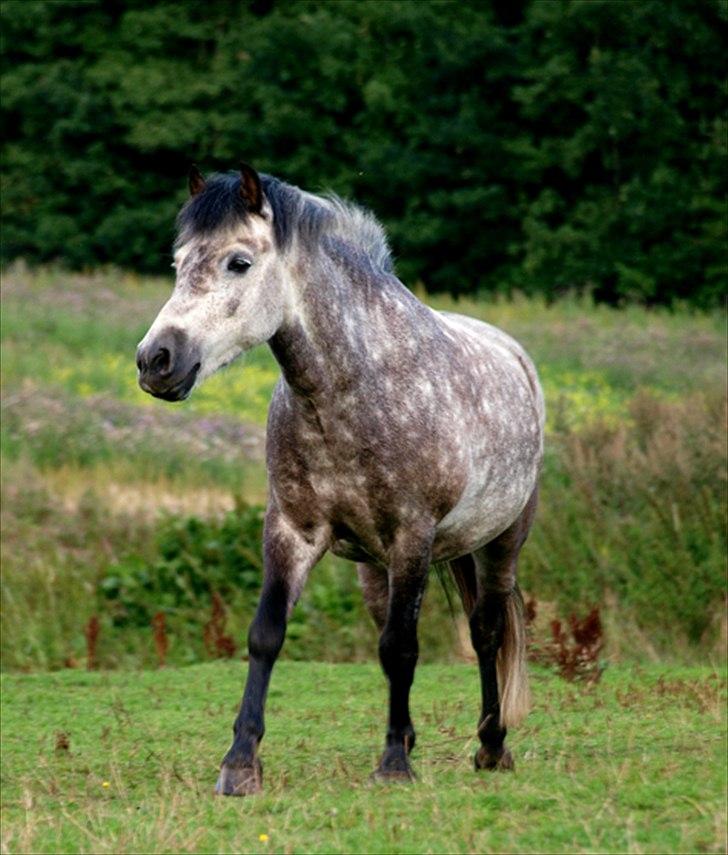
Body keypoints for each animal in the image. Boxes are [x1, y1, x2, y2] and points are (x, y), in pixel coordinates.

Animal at [136, 166, 544, 796]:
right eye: (179, 262)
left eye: (238, 262)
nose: (155, 360)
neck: (350, 387)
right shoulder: (292, 531)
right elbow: (268, 634)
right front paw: (240, 764)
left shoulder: (411, 537)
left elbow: (403, 647)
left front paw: (393, 766)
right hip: (375, 565)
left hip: (501, 540)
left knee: (486, 631)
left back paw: (492, 746)